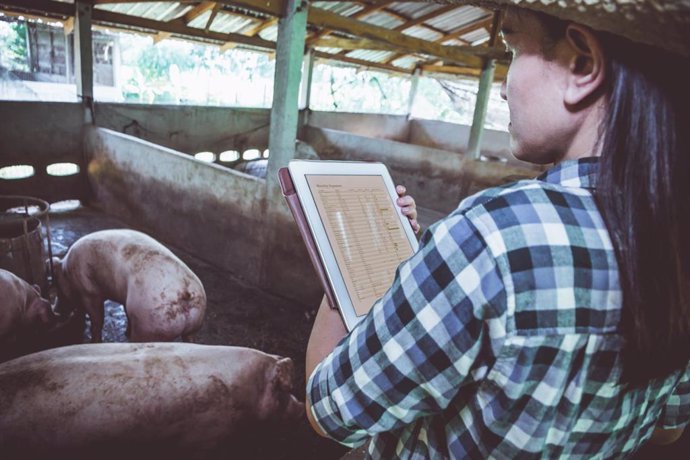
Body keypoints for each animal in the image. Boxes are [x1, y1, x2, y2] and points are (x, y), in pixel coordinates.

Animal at [51, 229, 204, 342]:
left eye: (57, 286)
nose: (56, 311)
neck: (67, 271)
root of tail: (184, 290)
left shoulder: (89, 292)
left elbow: (97, 320)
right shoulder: (124, 298)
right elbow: (125, 312)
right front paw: (126, 332)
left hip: (150, 323)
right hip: (194, 324)